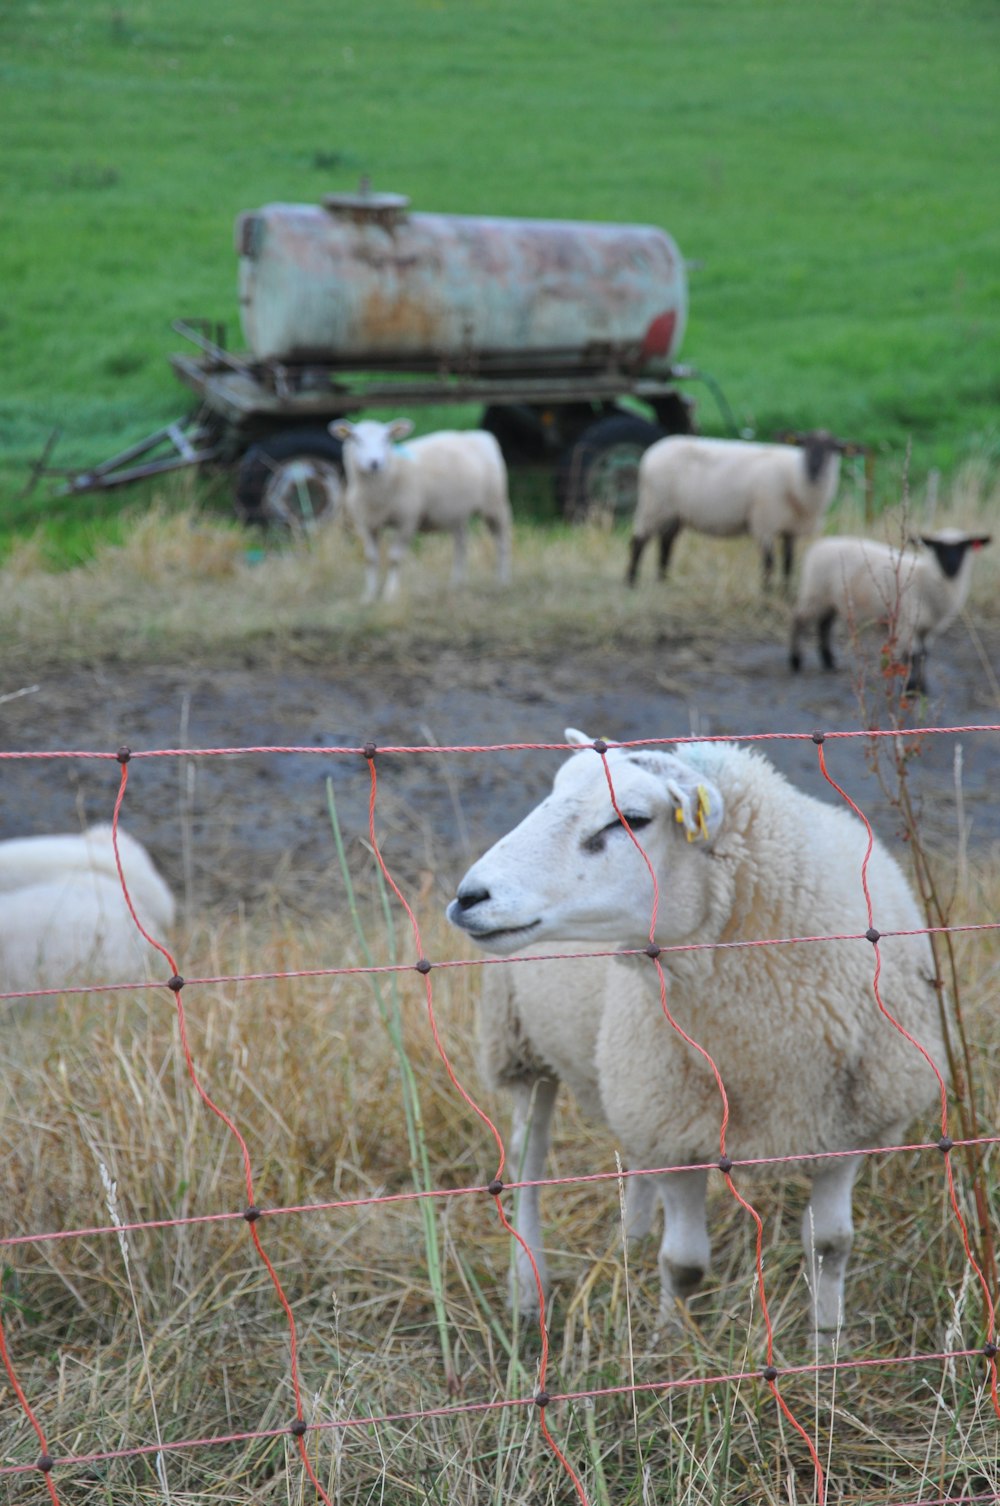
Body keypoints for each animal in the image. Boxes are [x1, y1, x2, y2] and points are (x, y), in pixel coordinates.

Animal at [329, 415, 512, 602]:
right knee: (461, 544)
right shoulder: (366, 523)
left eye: (387, 438)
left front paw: (390, 594)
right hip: (456, 512)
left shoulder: (407, 520)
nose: (374, 462)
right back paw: (456, 583)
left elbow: (395, 558)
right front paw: (369, 595)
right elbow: (370, 559)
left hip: (495, 504)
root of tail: (481, 435)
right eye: (355, 438)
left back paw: (502, 581)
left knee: (501, 541)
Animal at [448, 728, 951, 1331]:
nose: (468, 897)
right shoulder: (676, 1135)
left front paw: (827, 1341)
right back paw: (528, 1290)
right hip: (522, 1039)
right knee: (529, 1158)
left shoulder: (846, 1130)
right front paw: (672, 1339)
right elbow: (685, 1263)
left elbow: (831, 1245)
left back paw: (633, 1236)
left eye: (633, 818)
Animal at [629, 430, 849, 587]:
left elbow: (788, 563)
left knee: (666, 542)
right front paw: (766, 594)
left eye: (834, 448)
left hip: (673, 513)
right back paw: (631, 581)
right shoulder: (765, 523)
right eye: (804, 444)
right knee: (638, 542)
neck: (794, 478)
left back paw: (662, 580)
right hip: (653, 505)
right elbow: (769, 562)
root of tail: (653, 450)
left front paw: (785, 592)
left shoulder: (790, 529)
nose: (814, 469)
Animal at [789, 530, 993, 692]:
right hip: (814, 593)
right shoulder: (907, 622)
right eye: (938, 548)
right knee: (799, 620)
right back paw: (796, 661)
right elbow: (912, 656)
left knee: (824, 624)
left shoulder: (929, 629)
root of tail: (819, 544)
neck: (925, 578)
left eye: (964, 547)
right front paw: (910, 688)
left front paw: (921, 687)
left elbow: (925, 655)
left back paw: (829, 662)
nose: (951, 567)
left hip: (829, 599)